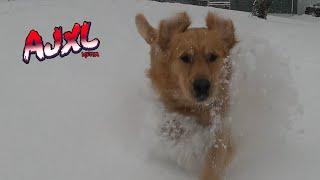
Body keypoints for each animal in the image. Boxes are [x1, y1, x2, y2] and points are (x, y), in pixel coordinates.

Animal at [135, 11, 238, 179]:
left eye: (212, 56)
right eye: (185, 57)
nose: (202, 85)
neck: (196, 109)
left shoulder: (220, 126)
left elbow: (215, 158)